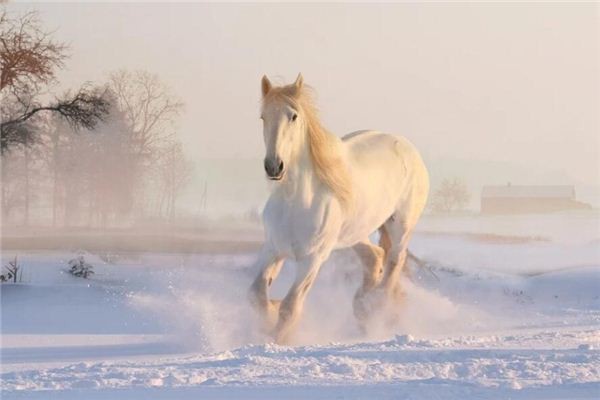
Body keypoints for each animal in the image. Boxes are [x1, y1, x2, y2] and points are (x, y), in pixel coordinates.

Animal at [251, 73, 428, 342]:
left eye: (293, 116)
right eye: (263, 117)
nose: (274, 166)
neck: (296, 202)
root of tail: (408, 147)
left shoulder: (312, 259)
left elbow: (290, 307)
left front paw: (277, 339)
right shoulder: (273, 248)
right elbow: (257, 294)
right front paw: (269, 316)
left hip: (401, 226)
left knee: (394, 263)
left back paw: (375, 307)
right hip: (355, 232)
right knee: (375, 257)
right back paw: (362, 308)